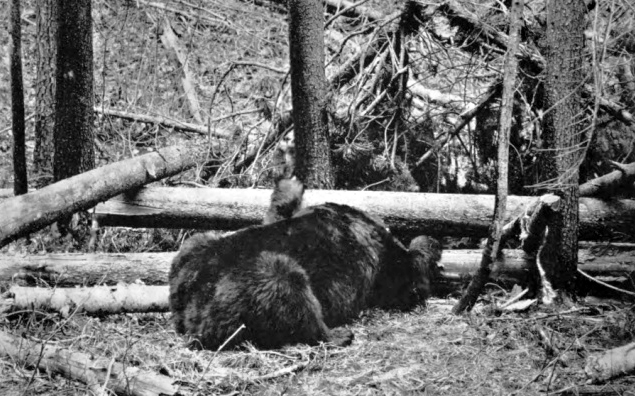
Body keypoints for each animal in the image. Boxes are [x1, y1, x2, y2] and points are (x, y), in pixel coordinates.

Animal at [169, 179, 442, 350]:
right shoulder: (382, 263)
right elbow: (408, 283)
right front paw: (428, 247)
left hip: (192, 259)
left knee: (194, 243)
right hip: (252, 279)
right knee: (287, 286)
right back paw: (338, 334)